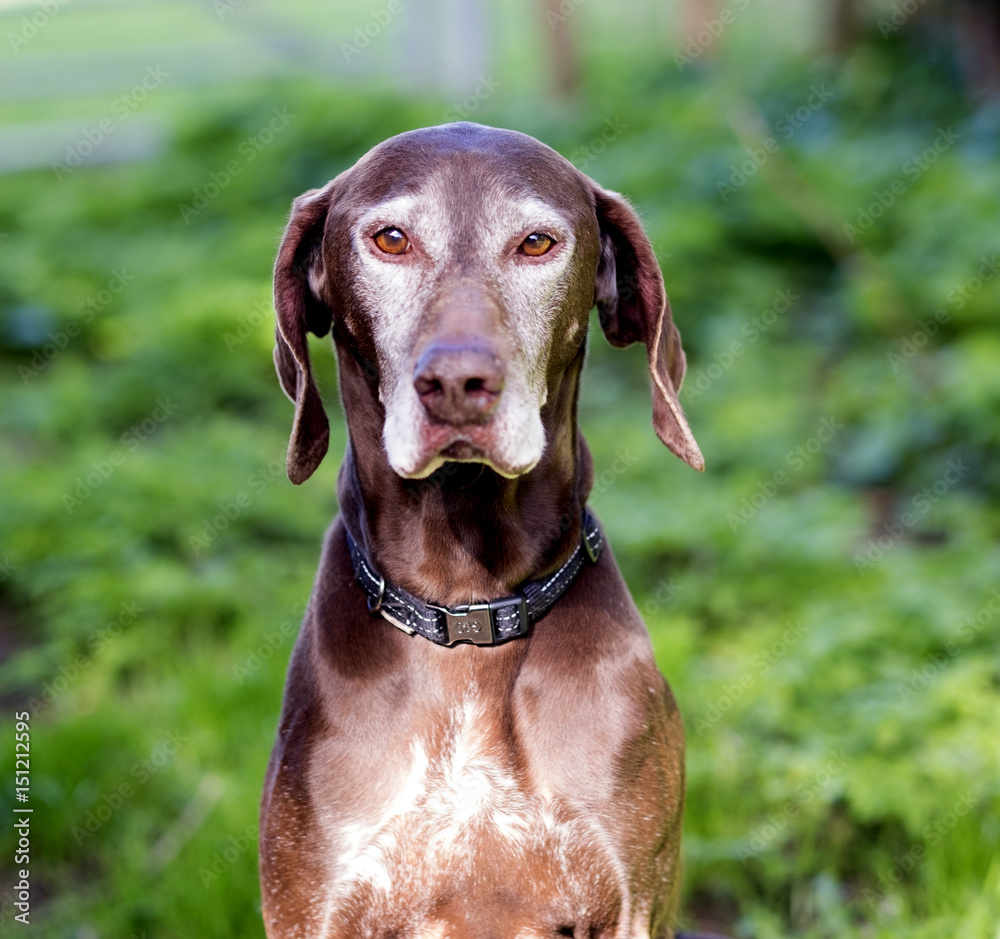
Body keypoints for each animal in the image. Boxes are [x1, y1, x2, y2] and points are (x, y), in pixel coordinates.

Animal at [262, 125, 708, 939]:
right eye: (390, 238)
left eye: (536, 242)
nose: (458, 384)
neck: (469, 607)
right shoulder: (313, 909)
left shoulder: (636, 901)